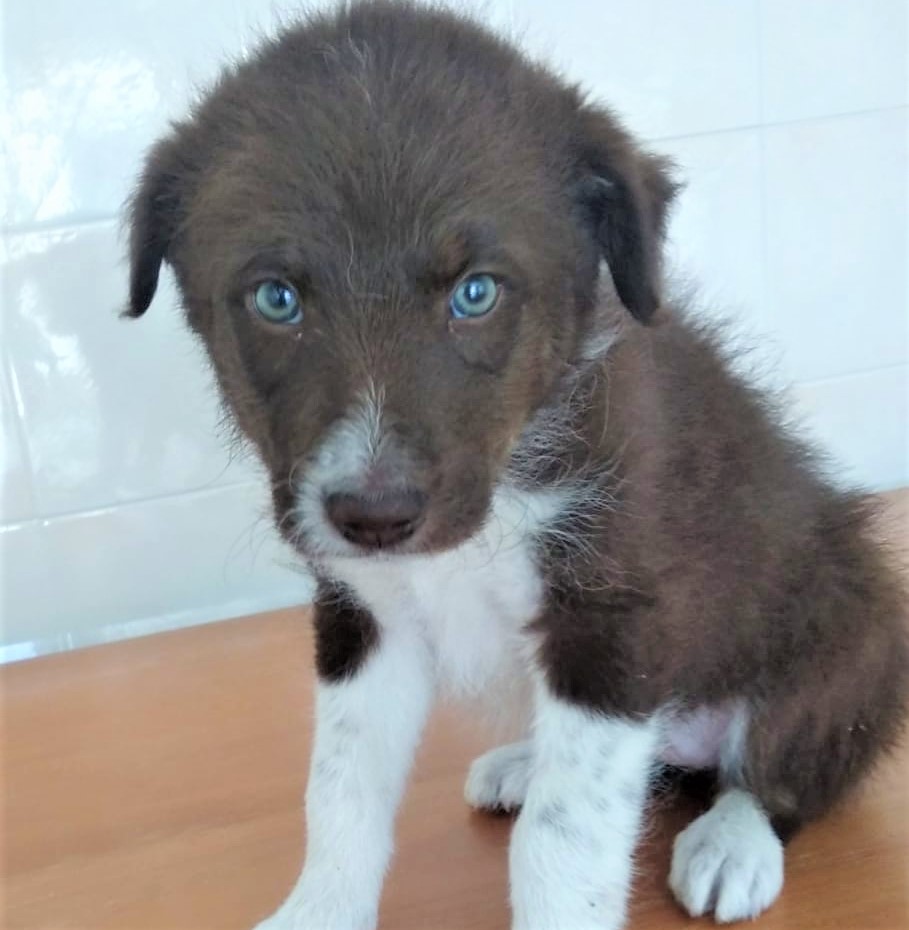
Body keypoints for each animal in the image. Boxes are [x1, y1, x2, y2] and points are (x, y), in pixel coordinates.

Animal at [125, 3, 908, 928]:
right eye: (275, 299)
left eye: (477, 292)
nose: (375, 516)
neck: (499, 494)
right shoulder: (365, 613)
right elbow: (340, 789)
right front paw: (321, 908)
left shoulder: (614, 620)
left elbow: (562, 839)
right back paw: (527, 763)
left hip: (848, 635)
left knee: (782, 772)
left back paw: (732, 840)